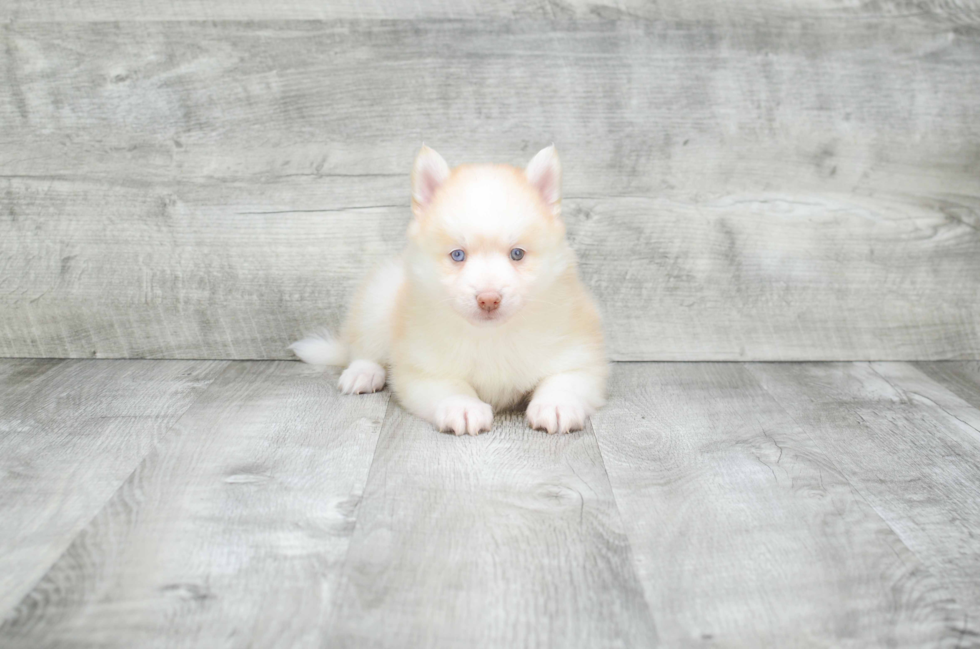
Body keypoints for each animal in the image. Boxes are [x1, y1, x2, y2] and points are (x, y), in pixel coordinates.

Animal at [290, 144, 608, 432]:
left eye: (517, 254)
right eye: (458, 255)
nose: (488, 299)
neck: (491, 336)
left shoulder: (581, 354)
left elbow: (563, 379)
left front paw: (556, 404)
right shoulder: (423, 367)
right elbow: (450, 385)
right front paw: (463, 407)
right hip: (378, 299)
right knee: (363, 347)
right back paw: (363, 373)